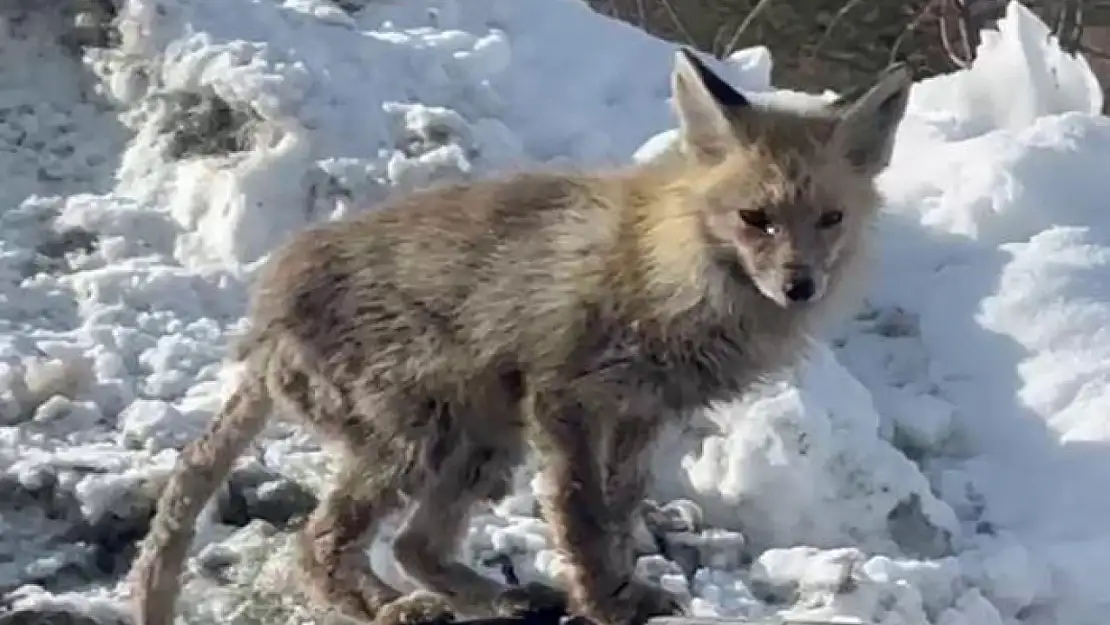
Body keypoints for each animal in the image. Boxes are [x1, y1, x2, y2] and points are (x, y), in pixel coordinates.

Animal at [127, 46, 910, 625]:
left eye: (831, 220)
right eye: (756, 220)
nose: (800, 286)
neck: (668, 274)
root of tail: (264, 319)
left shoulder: (640, 414)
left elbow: (619, 516)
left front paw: (626, 593)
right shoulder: (565, 397)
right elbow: (582, 518)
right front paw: (602, 602)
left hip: (481, 444)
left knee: (412, 545)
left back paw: (491, 596)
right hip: (420, 438)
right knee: (317, 545)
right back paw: (392, 609)